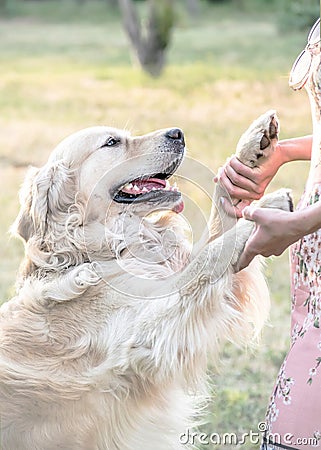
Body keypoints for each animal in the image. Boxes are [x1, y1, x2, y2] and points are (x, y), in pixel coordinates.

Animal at [0, 110, 290, 450]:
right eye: (112, 142)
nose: (178, 133)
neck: (94, 251)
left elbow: (220, 220)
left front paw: (254, 147)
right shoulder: (148, 334)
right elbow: (209, 258)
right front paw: (262, 213)